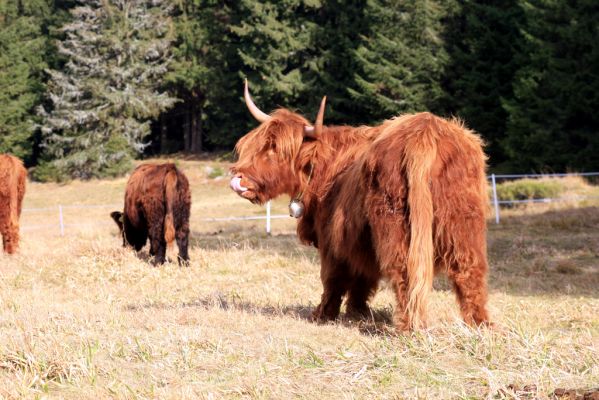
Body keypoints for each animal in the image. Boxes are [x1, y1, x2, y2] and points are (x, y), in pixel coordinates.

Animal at [231, 81, 492, 332]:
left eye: (274, 149)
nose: (237, 178)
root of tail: (425, 133)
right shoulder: (361, 240)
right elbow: (363, 276)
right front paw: (358, 312)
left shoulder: (331, 238)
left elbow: (333, 277)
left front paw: (323, 314)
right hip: (462, 221)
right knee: (469, 269)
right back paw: (480, 324)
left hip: (397, 221)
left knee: (405, 271)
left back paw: (408, 328)